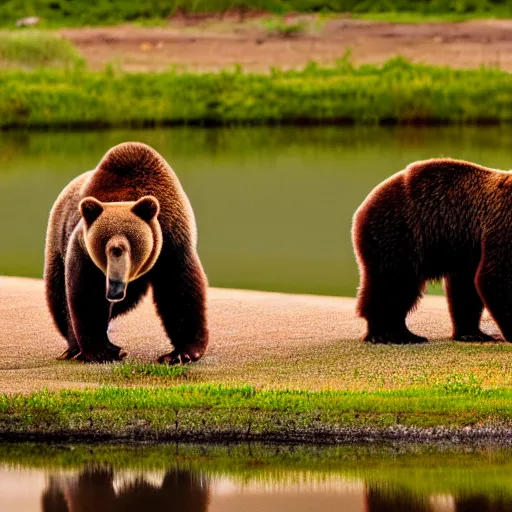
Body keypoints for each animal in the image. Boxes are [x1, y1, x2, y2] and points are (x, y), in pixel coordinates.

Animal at [44, 142, 208, 362]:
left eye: (128, 246)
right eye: (104, 246)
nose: (114, 288)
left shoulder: (172, 243)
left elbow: (179, 291)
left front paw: (181, 353)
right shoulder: (84, 251)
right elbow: (87, 294)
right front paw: (104, 350)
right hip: (57, 241)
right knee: (59, 295)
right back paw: (73, 348)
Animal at [352, 158, 512, 346]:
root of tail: (361, 209)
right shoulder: (504, 224)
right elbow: (495, 277)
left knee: (461, 288)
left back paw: (470, 333)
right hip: (399, 234)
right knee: (394, 284)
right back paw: (388, 334)